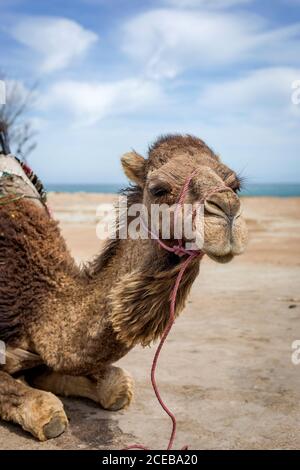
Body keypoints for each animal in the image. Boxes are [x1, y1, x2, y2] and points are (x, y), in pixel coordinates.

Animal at [0, 132, 248, 440]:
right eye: (158, 189)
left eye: (236, 186)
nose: (227, 211)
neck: (36, 301)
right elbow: (46, 410)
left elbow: (118, 384)